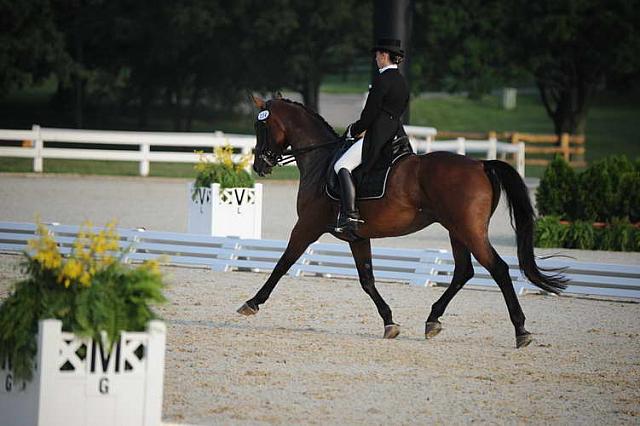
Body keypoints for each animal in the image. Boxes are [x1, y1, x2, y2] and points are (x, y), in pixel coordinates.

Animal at [236, 95, 564, 348]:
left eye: (260, 126)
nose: (260, 165)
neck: (321, 160)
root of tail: (481, 164)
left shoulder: (307, 226)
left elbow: (282, 264)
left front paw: (252, 302)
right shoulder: (357, 237)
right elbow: (367, 280)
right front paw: (389, 322)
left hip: (469, 230)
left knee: (498, 268)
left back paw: (521, 330)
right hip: (457, 230)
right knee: (464, 271)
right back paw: (432, 320)